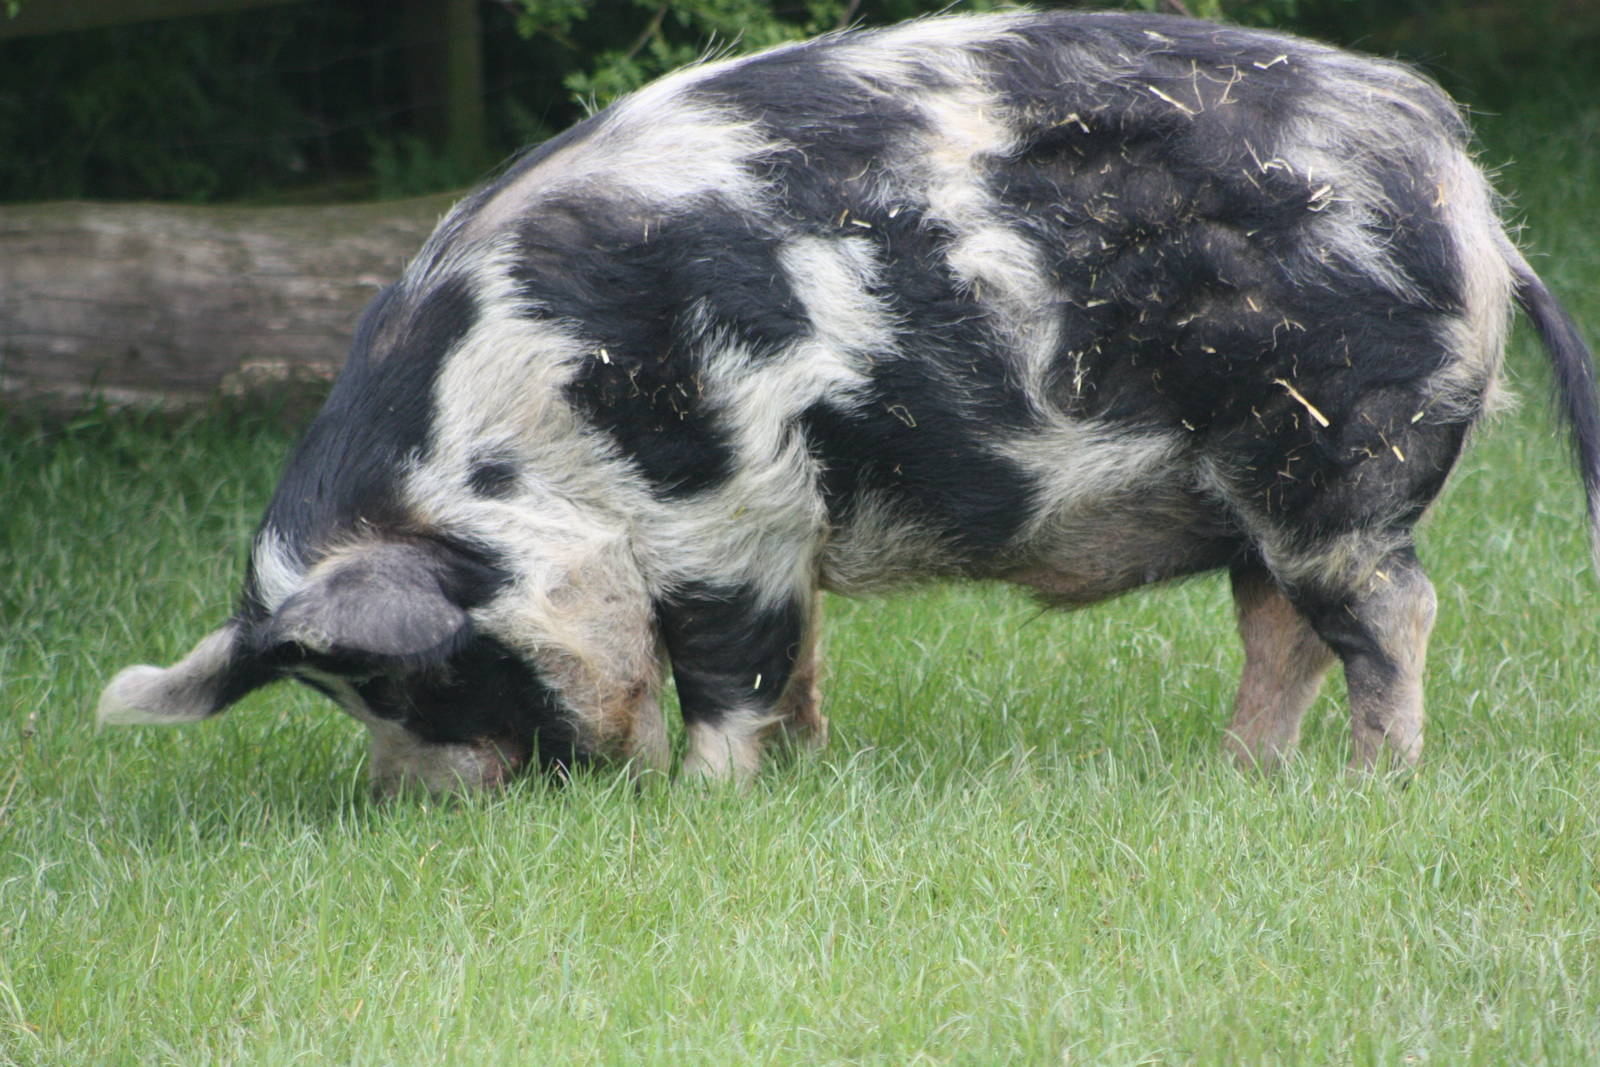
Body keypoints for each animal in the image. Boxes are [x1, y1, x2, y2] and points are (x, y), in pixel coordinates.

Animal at [98, 10, 1600, 793]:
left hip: (1333, 446)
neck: (512, 429)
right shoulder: (782, 519)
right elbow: (798, 656)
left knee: (1390, 611)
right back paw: (1236, 776)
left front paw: (705, 802)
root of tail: (1473, 198)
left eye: (417, 673)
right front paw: (810, 768)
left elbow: (731, 663)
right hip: (1259, 487)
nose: (417, 802)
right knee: (1279, 629)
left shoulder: (730, 504)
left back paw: (1374, 784)